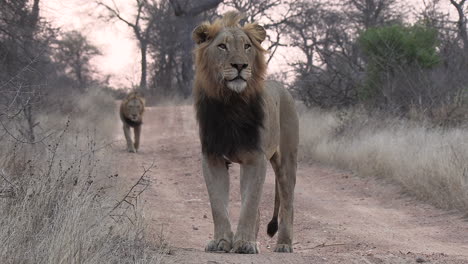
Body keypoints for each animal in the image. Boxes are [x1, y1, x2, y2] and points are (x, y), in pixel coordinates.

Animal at [194, 11, 300, 254]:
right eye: (222, 46)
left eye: (247, 46)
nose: (240, 65)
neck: (230, 103)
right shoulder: (212, 158)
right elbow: (218, 205)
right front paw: (222, 241)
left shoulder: (255, 158)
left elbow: (249, 204)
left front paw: (244, 243)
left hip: (287, 162)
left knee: (287, 204)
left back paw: (284, 244)